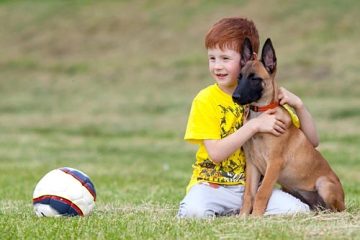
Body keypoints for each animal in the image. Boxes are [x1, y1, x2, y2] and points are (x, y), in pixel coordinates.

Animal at [232, 38, 344, 216]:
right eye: (239, 77)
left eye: (254, 79)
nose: (235, 97)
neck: (261, 116)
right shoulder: (252, 165)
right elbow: (249, 194)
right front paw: (243, 217)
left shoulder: (274, 163)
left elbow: (262, 192)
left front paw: (256, 217)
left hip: (324, 185)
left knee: (337, 210)